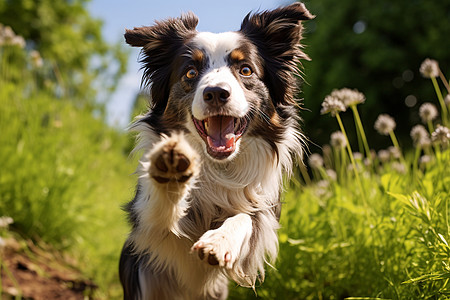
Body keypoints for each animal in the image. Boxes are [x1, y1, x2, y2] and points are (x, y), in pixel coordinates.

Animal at [119, 3, 312, 298]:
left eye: (246, 70)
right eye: (190, 72)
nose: (216, 93)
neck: (220, 167)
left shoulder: (263, 221)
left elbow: (245, 217)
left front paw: (219, 242)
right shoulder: (147, 228)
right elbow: (160, 208)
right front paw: (171, 168)